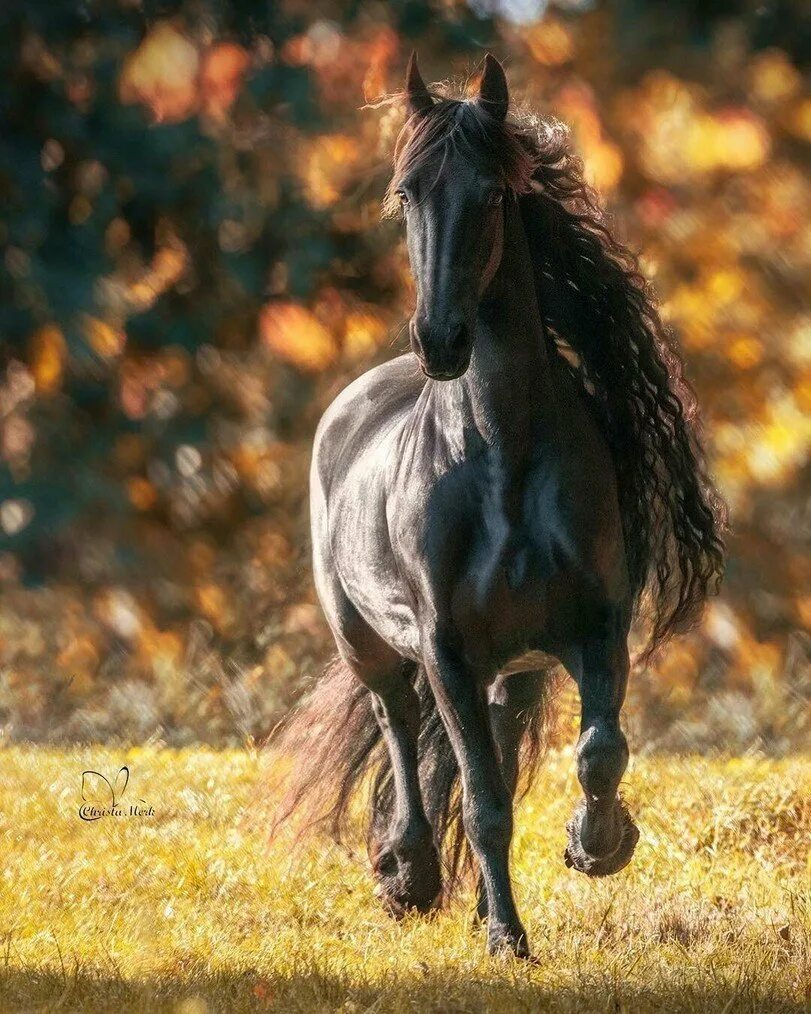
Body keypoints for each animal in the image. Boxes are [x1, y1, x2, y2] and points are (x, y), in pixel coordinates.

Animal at [271, 53, 721, 957]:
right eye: (406, 192)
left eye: (489, 193)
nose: (439, 341)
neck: (502, 461)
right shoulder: (446, 649)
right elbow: (479, 802)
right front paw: (507, 940)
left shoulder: (591, 628)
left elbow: (597, 752)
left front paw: (598, 844)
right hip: (370, 644)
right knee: (399, 726)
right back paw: (408, 871)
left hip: (509, 674)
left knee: (494, 753)